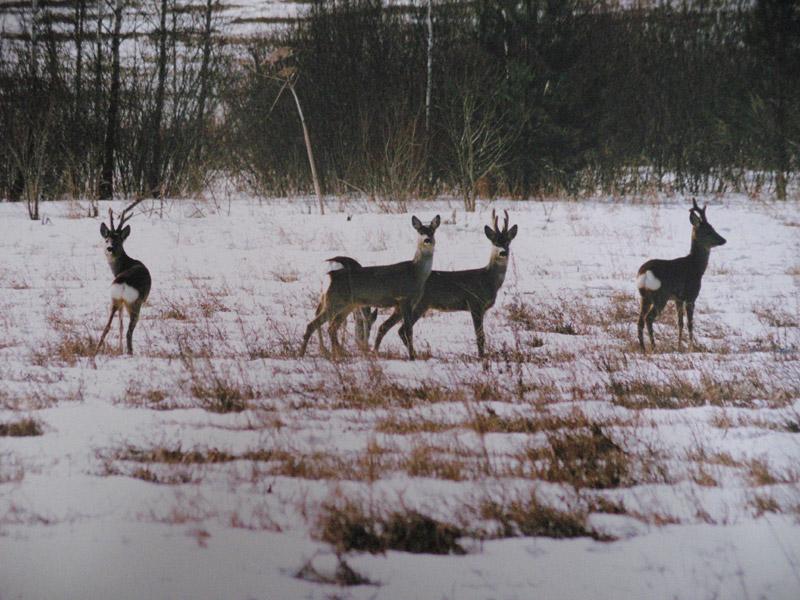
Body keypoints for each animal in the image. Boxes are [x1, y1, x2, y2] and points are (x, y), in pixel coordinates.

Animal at [95, 199, 152, 354]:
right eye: (107, 239)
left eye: (118, 240)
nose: (109, 248)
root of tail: (123, 284)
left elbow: (119, 324)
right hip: (134, 303)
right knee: (129, 331)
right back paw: (130, 352)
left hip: (115, 300)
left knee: (107, 327)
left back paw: (96, 351)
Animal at [296, 214, 440, 358]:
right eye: (420, 231)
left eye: (432, 231)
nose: (427, 240)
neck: (416, 273)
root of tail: (329, 275)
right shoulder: (404, 298)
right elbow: (409, 330)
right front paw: (412, 357)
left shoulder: (401, 304)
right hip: (335, 301)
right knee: (313, 325)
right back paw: (302, 354)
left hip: (347, 304)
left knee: (331, 327)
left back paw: (338, 353)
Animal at [370, 209, 516, 358]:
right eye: (495, 241)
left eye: (508, 241)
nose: (503, 252)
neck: (488, 279)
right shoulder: (474, 303)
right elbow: (480, 336)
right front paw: (481, 357)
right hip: (418, 304)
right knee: (402, 329)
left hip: (403, 305)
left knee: (387, 327)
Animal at [636, 198, 724, 352]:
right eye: (708, 231)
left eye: (713, 228)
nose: (723, 240)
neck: (696, 267)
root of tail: (645, 273)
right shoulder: (690, 296)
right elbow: (690, 323)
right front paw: (691, 347)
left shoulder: (678, 299)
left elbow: (680, 322)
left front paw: (678, 345)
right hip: (660, 296)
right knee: (649, 319)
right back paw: (653, 346)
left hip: (644, 297)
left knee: (639, 321)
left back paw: (643, 348)